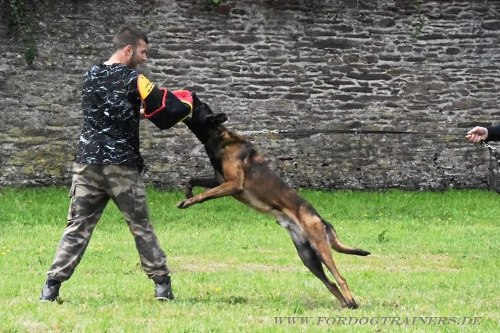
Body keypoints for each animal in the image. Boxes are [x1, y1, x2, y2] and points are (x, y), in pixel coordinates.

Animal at [178, 92, 370, 306]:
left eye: (199, 105)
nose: (193, 94)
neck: (218, 137)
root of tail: (320, 219)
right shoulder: (219, 180)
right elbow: (192, 179)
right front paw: (187, 192)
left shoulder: (233, 184)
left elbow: (204, 194)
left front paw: (189, 201)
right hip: (307, 256)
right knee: (330, 283)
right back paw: (345, 305)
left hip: (320, 249)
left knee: (340, 278)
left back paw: (352, 302)